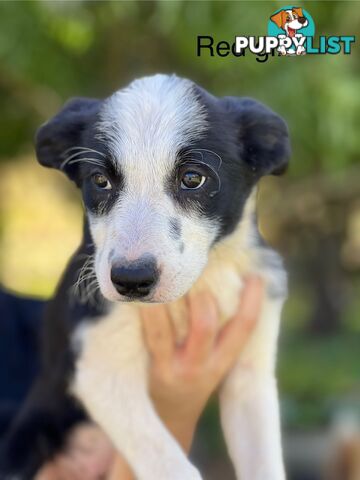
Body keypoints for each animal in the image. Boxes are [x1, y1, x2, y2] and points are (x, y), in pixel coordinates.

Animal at [0, 75, 292, 480]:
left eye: (192, 178)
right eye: (100, 180)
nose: (131, 280)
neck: (202, 282)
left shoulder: (251, 375)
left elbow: (264, 463)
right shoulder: (98, 366)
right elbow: (167, 460)